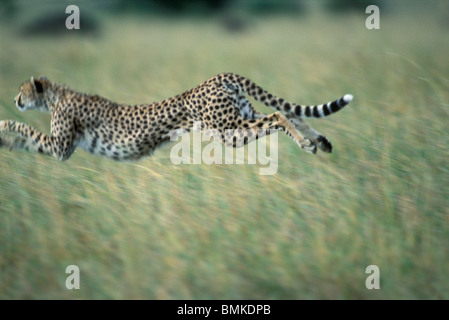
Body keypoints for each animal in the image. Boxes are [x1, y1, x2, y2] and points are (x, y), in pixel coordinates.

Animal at [0, 73, 352, 161]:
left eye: (22, 90)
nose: (15, 98)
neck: (56, 96)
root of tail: (218, 76)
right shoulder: (57, 148)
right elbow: (27, 141)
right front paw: (5, 143)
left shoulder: (62, 148)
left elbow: (24, 128)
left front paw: (3, 124)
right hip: (240, 116)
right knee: (289, 112)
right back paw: (319, 141)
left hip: (229, 131)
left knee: (279, 114)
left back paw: (307, 144)